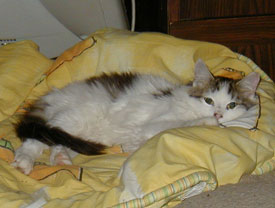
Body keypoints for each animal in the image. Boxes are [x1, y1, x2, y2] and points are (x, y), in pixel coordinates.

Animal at [11, 59, 260, 175]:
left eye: (231, 105)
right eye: (208, 100)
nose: (218, 113)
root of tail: (51, 95)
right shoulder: (153, 123)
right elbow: (179, 123)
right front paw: (207, 121)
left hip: (86, 133)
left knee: (58, 142)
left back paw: (61, 158)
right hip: (73, 117)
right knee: (35, 139)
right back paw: (24, 162)